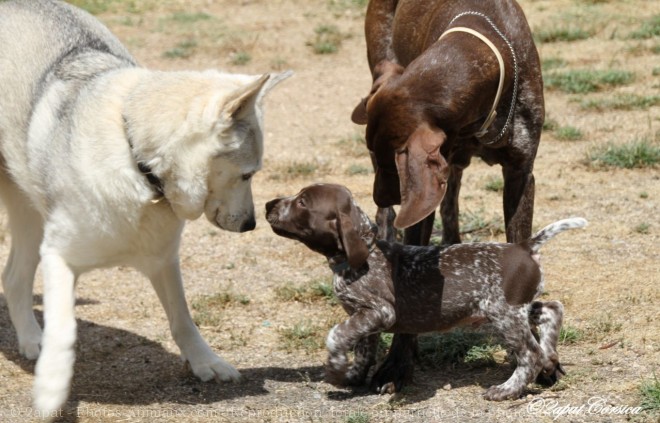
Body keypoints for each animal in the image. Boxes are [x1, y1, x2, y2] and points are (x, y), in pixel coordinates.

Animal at [0, 0, 288, 416]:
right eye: (249, 174)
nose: (252, 224)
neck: (136, 158)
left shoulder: (162, 258)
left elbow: (182, 318)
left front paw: (206, 362)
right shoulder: (58, 256)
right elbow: (64, 328)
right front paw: (51, 387)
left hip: (31, 216)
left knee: (12, 278)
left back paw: (30, 341)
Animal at [266, 185, 584, 400]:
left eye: (302, 202)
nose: (269, 203)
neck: (363, 255)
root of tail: (524, 246)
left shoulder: (380, 311)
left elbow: (336, 334)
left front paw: (334, 367)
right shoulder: (364, 317)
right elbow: (362, 349)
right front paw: (351, 375)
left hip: (504, 314)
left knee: (530, 354)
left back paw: (507, 389)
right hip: (515, 307)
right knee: (552, 310)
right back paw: (551, 356)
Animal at [350, 0, 540, 394]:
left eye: (387, 161)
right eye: (374, 156)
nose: (380, 194)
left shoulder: (519, 176)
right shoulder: (420, 199)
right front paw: (397, 363)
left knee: (451, 196)